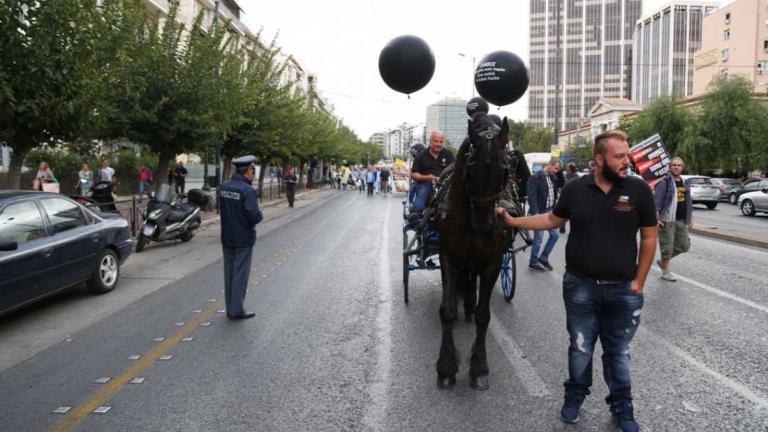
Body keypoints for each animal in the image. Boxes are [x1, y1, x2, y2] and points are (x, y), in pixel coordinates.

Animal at [436, 111, 512, 388]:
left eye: (504, 169)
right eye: (471, 165)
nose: (483, 223)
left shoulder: (492, 264)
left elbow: (483, 315)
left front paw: (479, 367)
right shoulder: (448, 258)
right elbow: (447, 311)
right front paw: (446, 367)